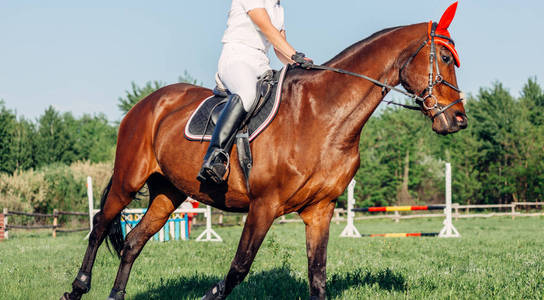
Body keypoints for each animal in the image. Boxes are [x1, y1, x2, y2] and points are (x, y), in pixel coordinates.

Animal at [61, 4, 466, 300]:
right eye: (445, 59)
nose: (458, 119)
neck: (322, 115)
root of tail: (147, 103)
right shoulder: (264, 205)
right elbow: (239, 267)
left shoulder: (320, 210)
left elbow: (317, 275)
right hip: (129, 179)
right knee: (99, 226)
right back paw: (77, 288)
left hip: (168, 191)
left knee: (133, 242)